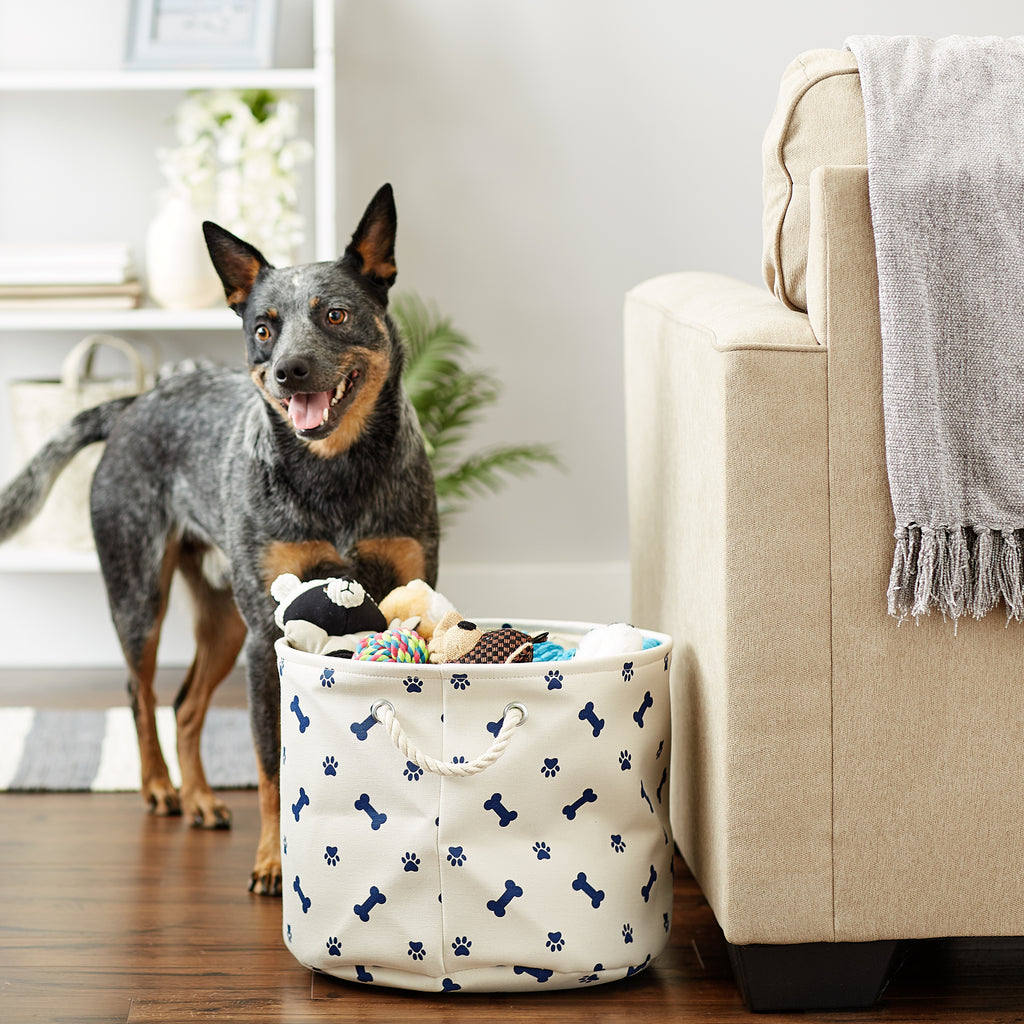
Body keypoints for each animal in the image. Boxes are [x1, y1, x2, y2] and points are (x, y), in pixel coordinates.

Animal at [0, 186, 436, 897]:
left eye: (336, 314)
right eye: (263, 328)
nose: (288, 370)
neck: (336, 475)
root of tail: (133, 404)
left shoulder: (407, 591)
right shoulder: (267, 639)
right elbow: (270, 766)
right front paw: (274, 863)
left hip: (224, 617)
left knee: (184, 706)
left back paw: (201, 798)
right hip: (142, 595)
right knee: (141, 692)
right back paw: (159, 788)